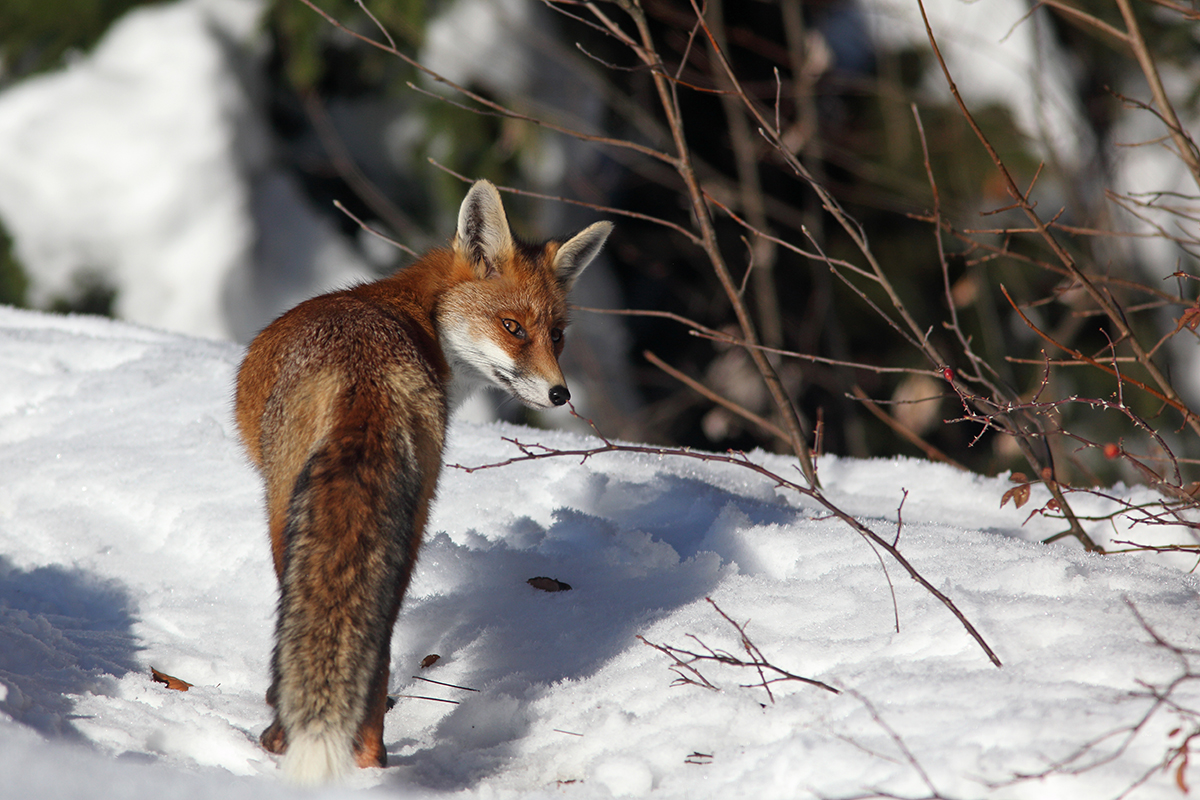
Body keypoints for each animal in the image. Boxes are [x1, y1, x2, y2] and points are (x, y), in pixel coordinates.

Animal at [231, 179, 609, 782]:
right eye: (514, 327)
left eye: (556, 336)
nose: (560, 395)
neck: (414, 316)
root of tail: (366, 376)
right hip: (410, 523)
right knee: (379, 641)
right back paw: (371, 761)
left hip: (284, 507)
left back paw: (284, 741)